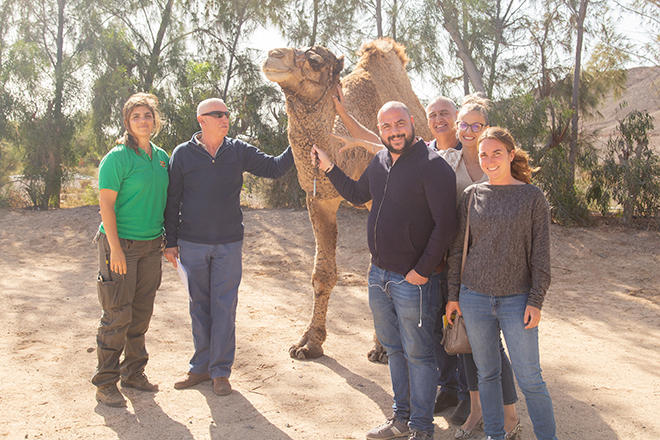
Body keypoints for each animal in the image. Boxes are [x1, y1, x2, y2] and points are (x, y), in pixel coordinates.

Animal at [262, 38, 432, 360]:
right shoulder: (319, 200)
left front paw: (382, 348)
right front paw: (308, 343)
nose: (272, 55)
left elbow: (381, 273)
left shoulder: (377, 204)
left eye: (315, 60)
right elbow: (322, 274)